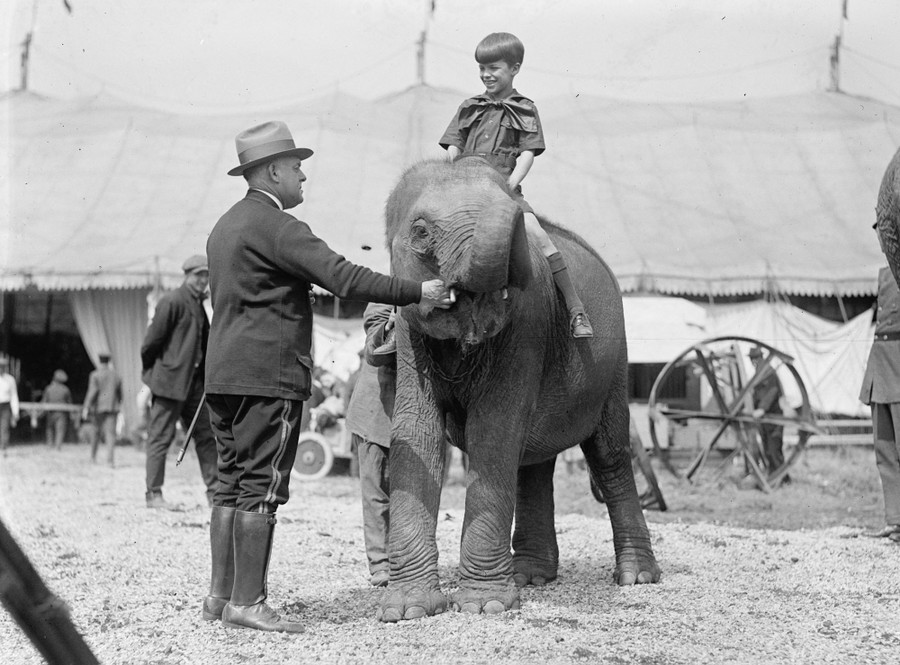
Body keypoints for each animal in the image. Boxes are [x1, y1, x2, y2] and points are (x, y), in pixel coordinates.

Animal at [376, 157, 656, 624]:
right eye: (420, 231)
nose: (519, 205)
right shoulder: (408, 332)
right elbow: (418, 431)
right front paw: (408, 610)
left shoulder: (527, 323)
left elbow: (493, 430)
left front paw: (483, 606)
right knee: (534, 460)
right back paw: (531, 577)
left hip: (614, 362)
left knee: (609, 455)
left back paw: (637, 577)